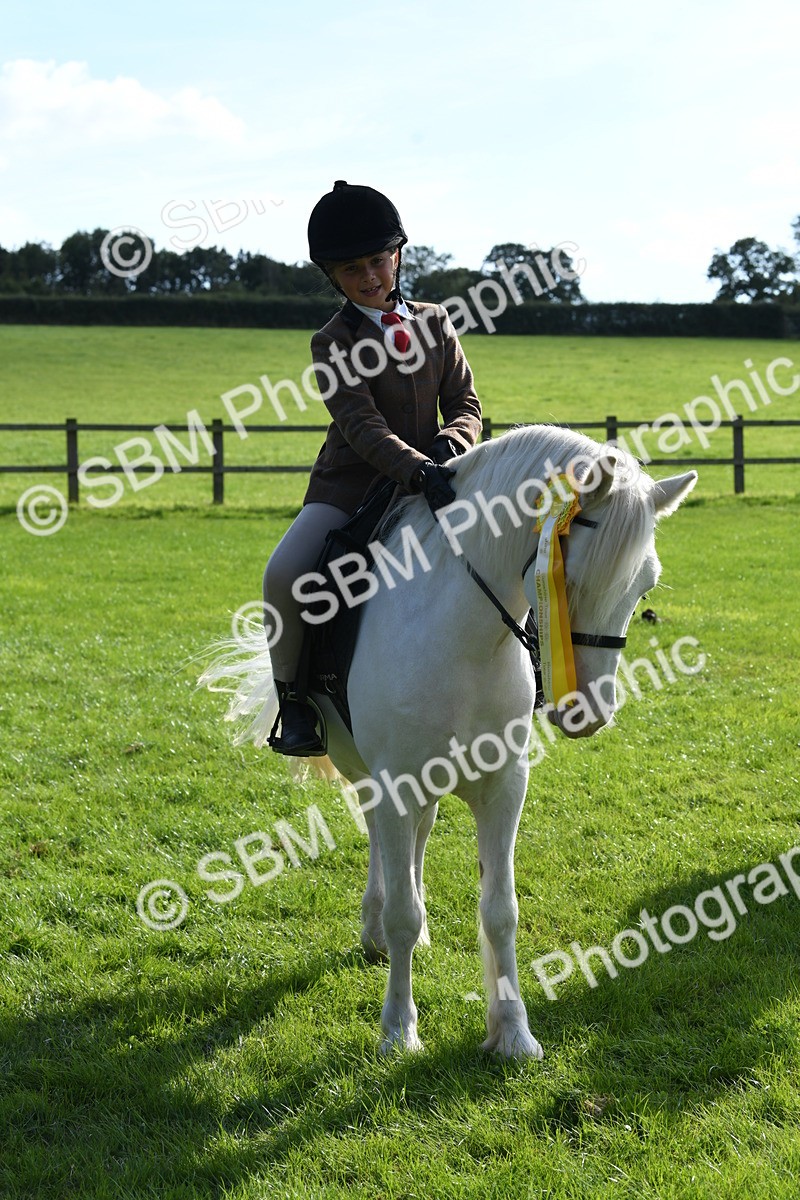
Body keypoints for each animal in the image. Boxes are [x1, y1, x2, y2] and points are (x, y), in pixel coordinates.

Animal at [200, 424, 697, 1059]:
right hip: (366, 769)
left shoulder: (505, 786)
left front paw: (513, 1034)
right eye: (567, 577)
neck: (467, 638)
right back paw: (375, 927)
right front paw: (397, 1031)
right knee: (382, 842)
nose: (587, 712)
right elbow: (402, 915)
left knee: (416, 837)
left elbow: (500, 910)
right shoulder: (394, 781)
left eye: (645, 586)